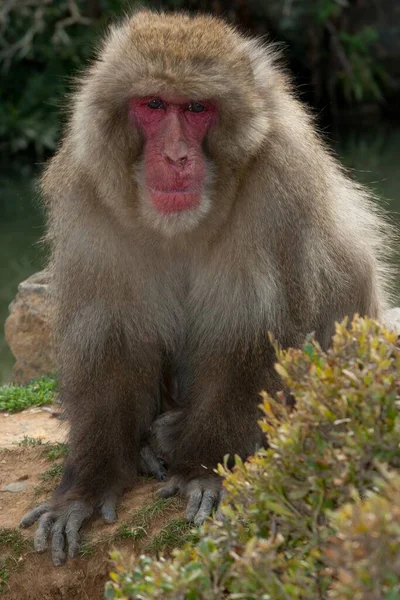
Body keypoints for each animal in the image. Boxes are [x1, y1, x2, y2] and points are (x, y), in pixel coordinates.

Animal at [18, 7, 390, 564]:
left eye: (196, 108)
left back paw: (172, 438)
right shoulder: (88, 187)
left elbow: (248, 332)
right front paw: (85, 486)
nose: (175, 156)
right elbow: (110, 337)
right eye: (153, 104)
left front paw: (205, 470)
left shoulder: (278, 180)